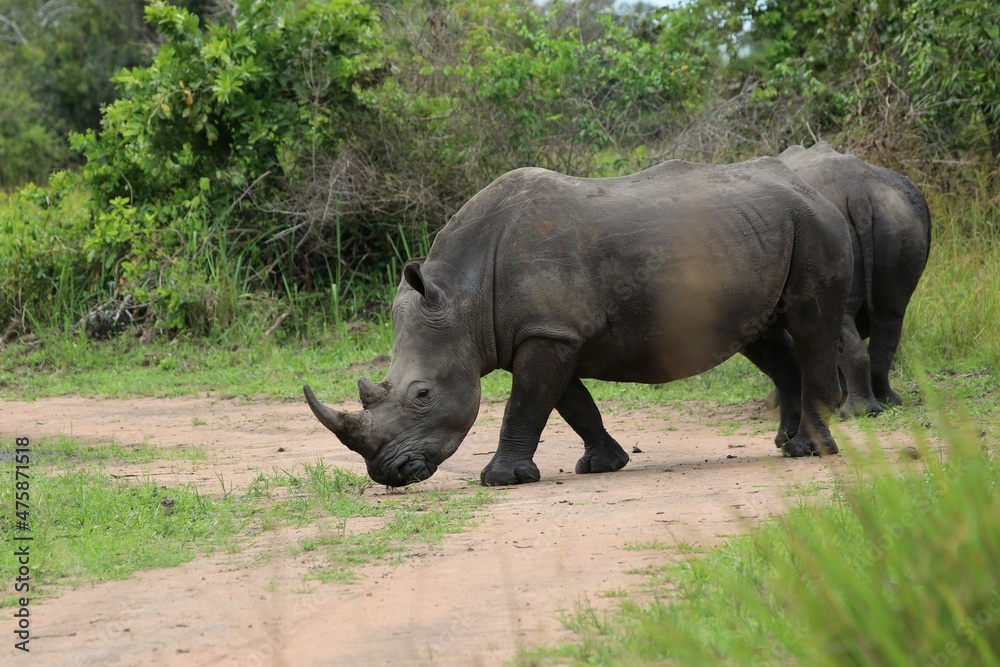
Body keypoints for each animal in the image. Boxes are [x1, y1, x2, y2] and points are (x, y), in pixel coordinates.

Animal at [305, 158, 853, 487]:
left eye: (422, 394)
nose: (388, 473)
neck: (463, 296)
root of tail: (813, 188)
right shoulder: (547, 330)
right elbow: (571, 403)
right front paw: (602, 466)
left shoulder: (549, 331)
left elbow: (526, 404)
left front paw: (501, 480)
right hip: (758, 236)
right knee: (763, 336)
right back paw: (789, 444)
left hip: (814, 227)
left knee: (811, 323)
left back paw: (812, 450)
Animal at [775, 142, 932, 416]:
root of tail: (857, 190)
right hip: (899, 217)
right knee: (890, 314)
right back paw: (885, 403)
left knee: (843, 315)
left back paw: (855, 412)